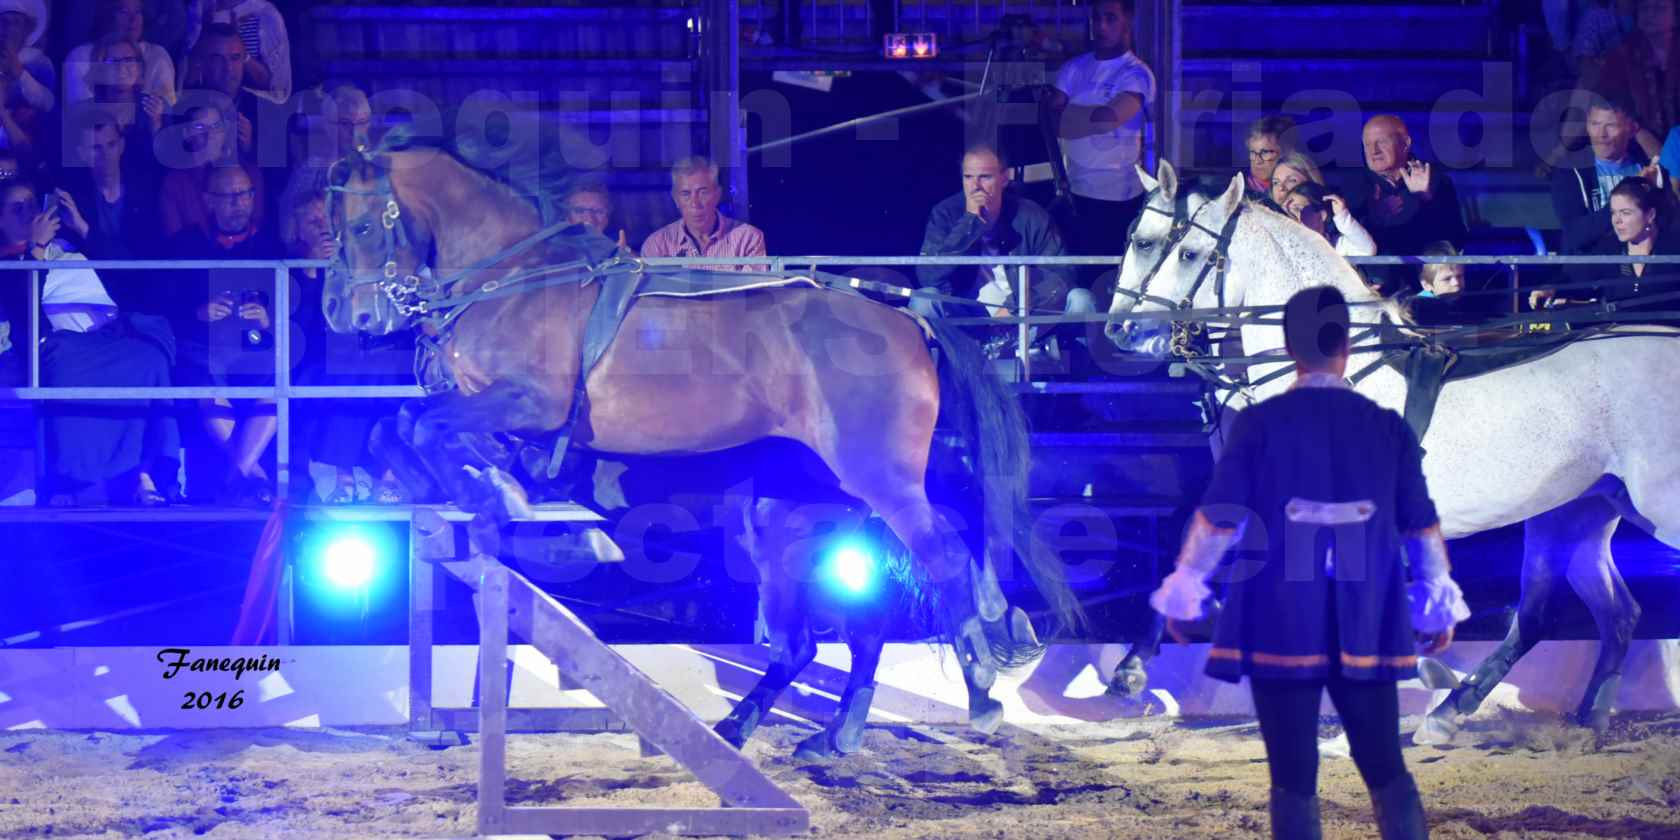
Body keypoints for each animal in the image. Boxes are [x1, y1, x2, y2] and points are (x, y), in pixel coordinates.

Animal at [320, 144, 1081, 756]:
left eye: (359, 227)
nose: (350, 314)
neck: (519, 279)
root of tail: (908, 320)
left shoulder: (530, 404)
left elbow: (422, 429)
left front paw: (499, 503)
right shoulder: (502, 417)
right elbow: (401, 426)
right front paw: (483, 493)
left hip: (883, 481)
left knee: (943, 558)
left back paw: (979, 694)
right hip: (801, 509)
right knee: (839, 627)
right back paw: (810, 732)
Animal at [1102, 160, 1680, 739]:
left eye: (1181, 251)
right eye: (1134, 239)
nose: (1121, 330)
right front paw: (1132, 666)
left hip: (1650, 506)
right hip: (1580, 508)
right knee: (1596, 612)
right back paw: (1520, 713)